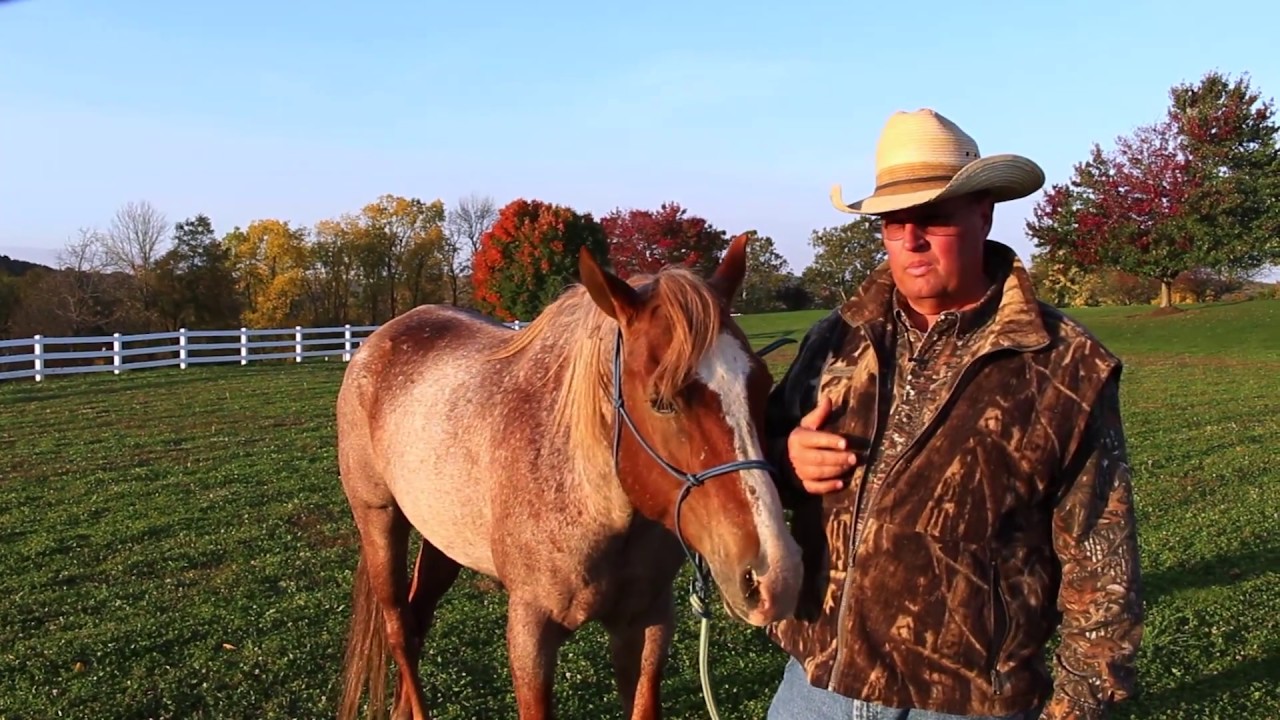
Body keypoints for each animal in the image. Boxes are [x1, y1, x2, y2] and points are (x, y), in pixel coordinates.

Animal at [334, 234, 803, 720]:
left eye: (761, 385)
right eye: (661, 401)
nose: (776, 574)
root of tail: (381, 339)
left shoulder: (647, 621)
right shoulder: (531, 631)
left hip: (441, 537)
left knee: (419, 615)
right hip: (379, 518)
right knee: (400, 629)